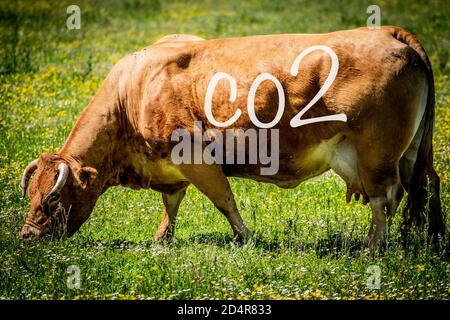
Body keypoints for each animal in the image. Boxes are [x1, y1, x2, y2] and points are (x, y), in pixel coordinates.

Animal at [19, 26, 444, 248]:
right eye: (32, 194)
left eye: (52, 199)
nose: (25, 236)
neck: (134, 91)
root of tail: (387, 32)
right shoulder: (169, 168)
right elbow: (171, 203)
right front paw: (162, 239)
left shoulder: (194, 156)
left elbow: (224, 200)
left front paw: (245, 238)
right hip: (409, 153)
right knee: (425, 185)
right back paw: (424, 237)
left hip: (376, 154)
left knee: (385, 197)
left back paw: (372, 248)